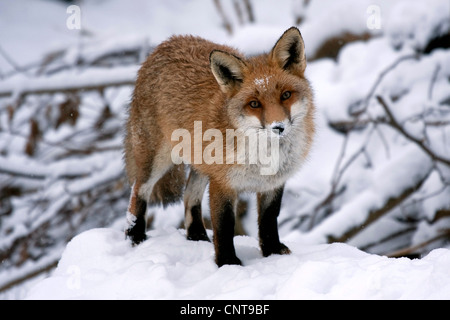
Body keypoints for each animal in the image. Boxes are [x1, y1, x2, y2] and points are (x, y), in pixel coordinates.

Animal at [122, 26, 312, 268]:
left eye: (286, 95)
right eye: (254, 104)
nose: (278, 127)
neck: (263, 156)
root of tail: (164, 44)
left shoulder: (273, 183)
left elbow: (268, 220)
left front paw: (272, 253)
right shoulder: (223, 183)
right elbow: (224, 226)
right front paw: (227, 263)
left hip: (201, 166)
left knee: (189, 197)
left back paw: (197, 238)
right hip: (157, 160)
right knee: (138, 191)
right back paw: (134, 237)